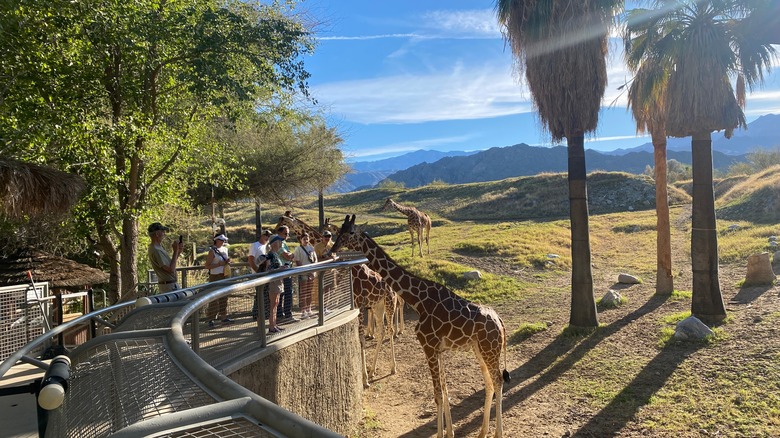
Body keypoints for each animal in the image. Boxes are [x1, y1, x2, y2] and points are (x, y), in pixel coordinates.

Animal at [276, 212, 396, 386]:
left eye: (283, 221)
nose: (274, 231)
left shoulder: (358, 304)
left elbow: (360, 338)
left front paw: (364, 379)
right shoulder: (354, 302)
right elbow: (359, 337)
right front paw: (365, 375)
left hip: (389, 303)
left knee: (390, 329)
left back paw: (392, 368)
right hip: (377, 305)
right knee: (382, 331)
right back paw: (373, 369)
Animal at [330, 216, 508, 438]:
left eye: (351, 232)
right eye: (340, 230)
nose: (333, 248)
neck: (419, 299)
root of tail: (500, 322)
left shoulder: (429, 346)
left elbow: (438, 394)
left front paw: (442, 434)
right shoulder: (438, 349)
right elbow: (445, 390)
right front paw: (449, 432)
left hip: (490, 349)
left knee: (498, 380)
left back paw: (497, 433)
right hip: (480, 349)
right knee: (489, 382)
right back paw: (482, 432)